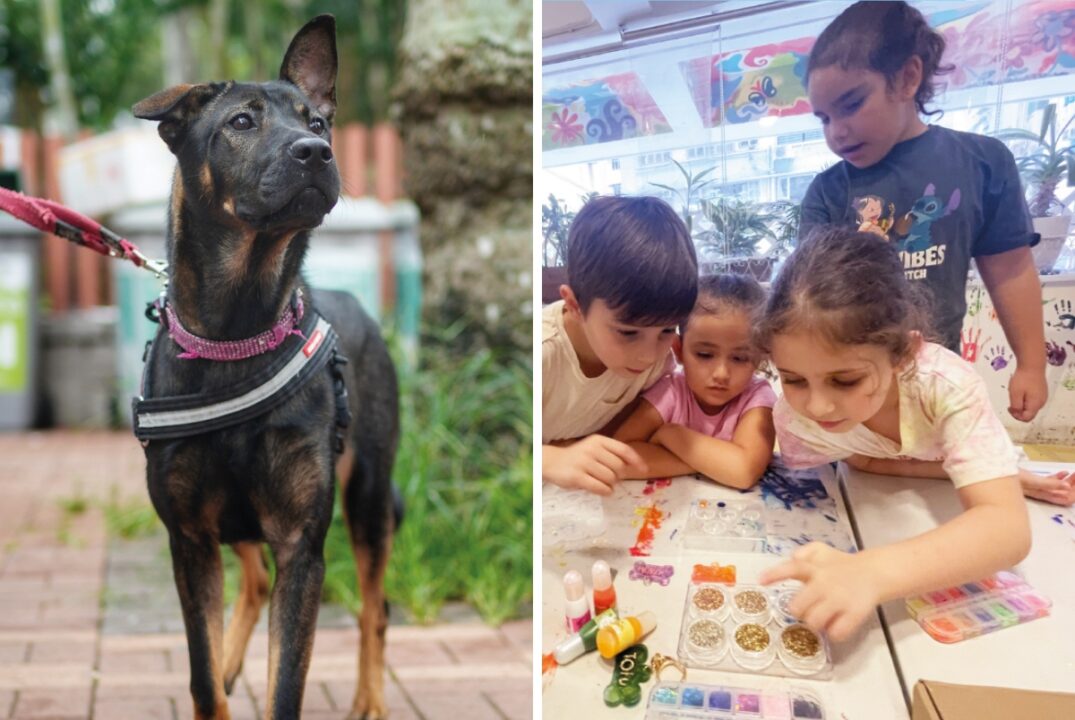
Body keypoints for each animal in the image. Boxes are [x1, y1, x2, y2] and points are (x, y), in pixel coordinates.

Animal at [130, 15, 399, 720]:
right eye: (241, 122)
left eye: (320, 122)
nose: (316, 152)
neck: (237, 336)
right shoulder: (190, 539)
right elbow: (200, 677)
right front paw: (215, 674)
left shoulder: (301, 546)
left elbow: (287, 686)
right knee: (250, 585)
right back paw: (231, 665)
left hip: (369, 497)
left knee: (376, 609)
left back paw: (369, 699)